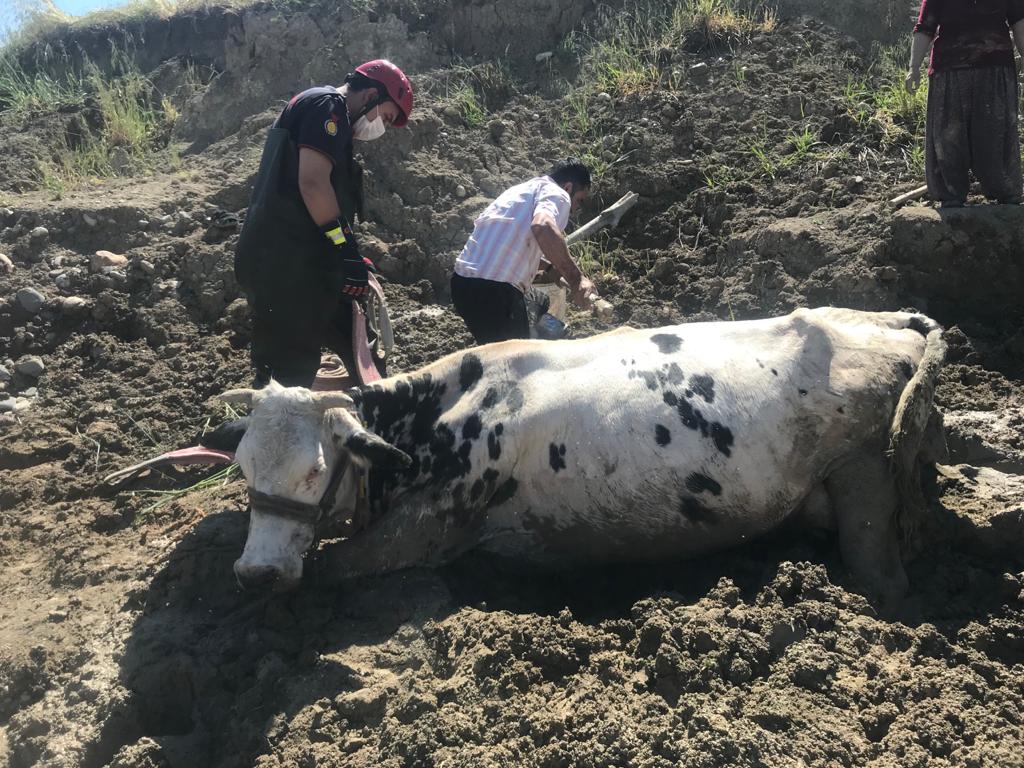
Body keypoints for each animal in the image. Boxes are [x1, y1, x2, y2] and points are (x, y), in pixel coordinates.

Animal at [220, 307, 946, 606]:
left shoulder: (430, 528)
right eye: (245, 468)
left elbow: (332, 567)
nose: (254, 573)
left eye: (316, 469)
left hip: (862, 474)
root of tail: (887, 320)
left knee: (885, 576)